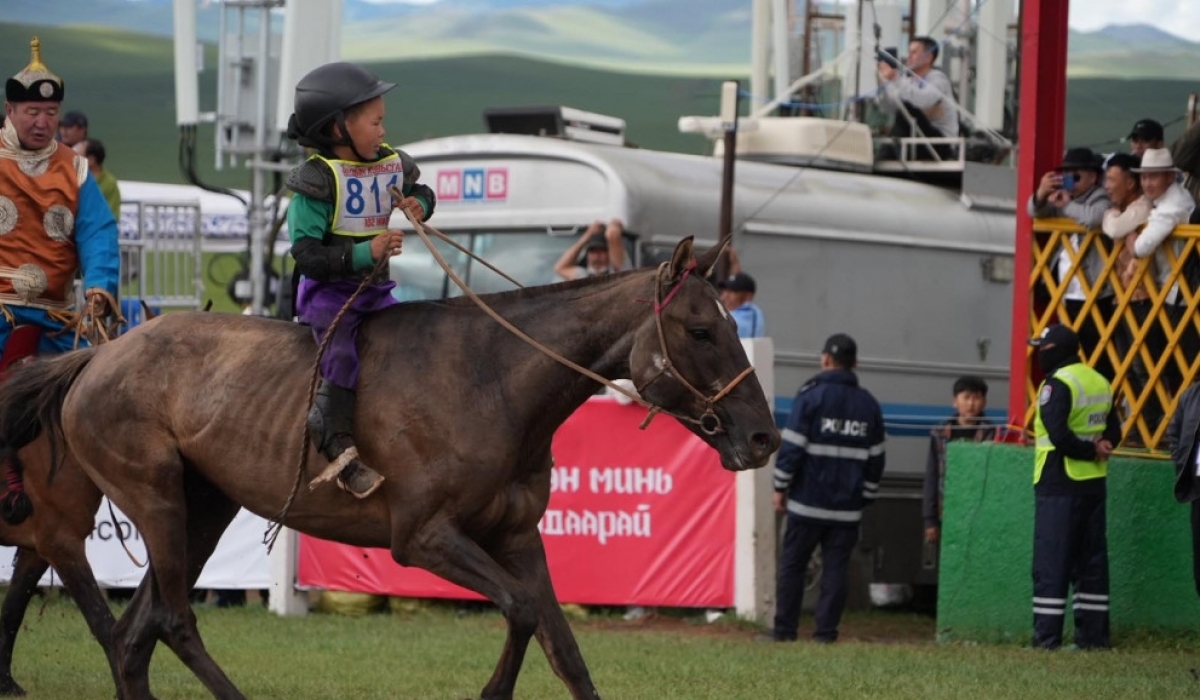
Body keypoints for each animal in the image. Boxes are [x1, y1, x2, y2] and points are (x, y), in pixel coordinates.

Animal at [0, 237, 777, 696]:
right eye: (701, 330)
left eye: (731, 326)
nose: (765, 437)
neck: (495, 380)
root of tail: (100, 355)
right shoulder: (424, 538)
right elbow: (522, 612)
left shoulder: (517, 538)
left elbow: (563, 647)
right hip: (157, 501)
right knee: (170, 621)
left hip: (204, 510)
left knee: (135, 636)